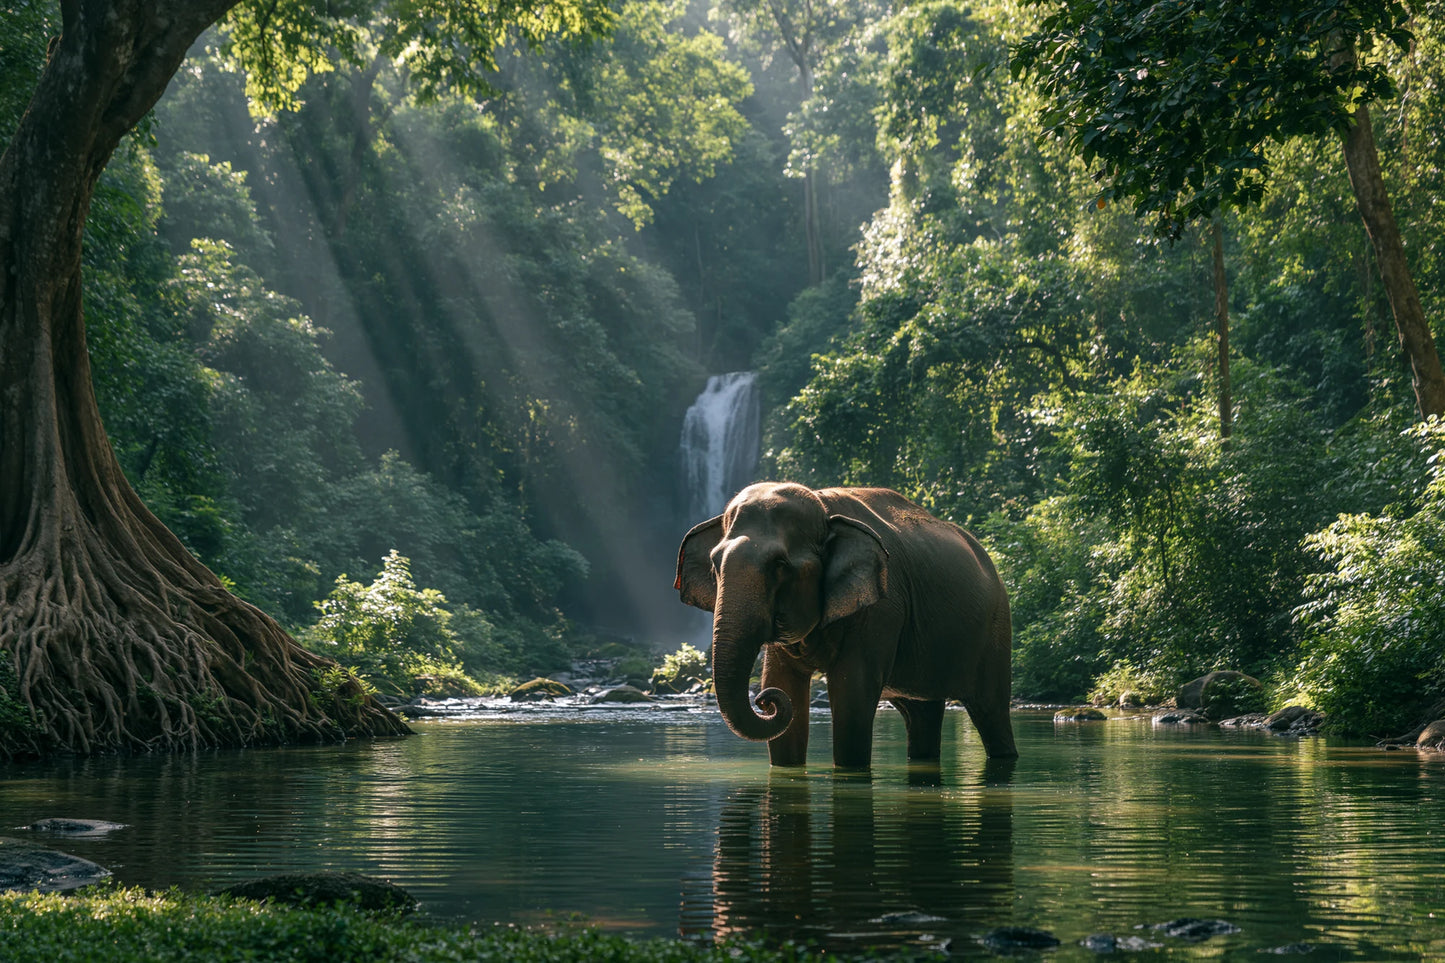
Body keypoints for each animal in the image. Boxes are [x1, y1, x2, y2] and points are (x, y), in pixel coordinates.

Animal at [675, 482, 1017, 768]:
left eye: (780, 565)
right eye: (715, 563)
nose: (763, 700)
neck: (824, 507)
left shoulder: (882, 607)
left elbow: (852, 693)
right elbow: (784, 682)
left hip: (996, 629)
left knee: (991, 710)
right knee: (922, 714)